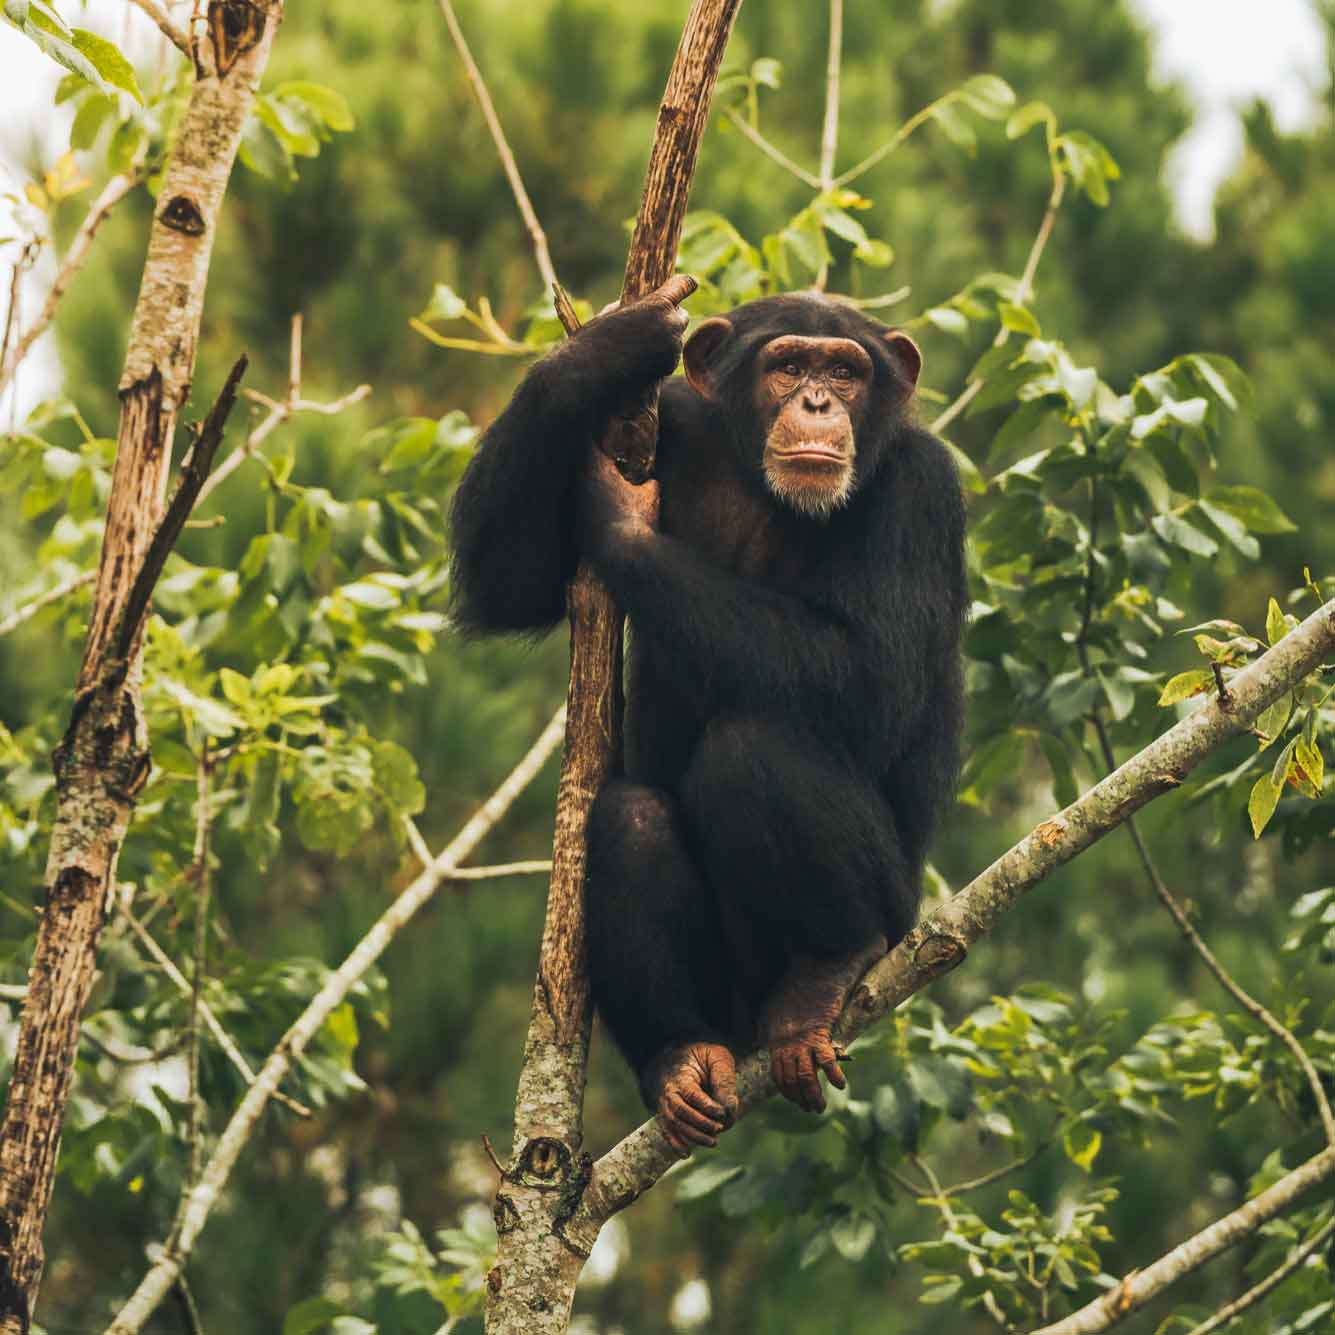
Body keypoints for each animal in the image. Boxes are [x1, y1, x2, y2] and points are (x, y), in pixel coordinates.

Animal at [453, 281, 966, 1158]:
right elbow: (509, 583)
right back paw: (680, 1055)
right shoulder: (669, 424)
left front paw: (618, 520)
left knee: (750, 748)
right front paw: (603, 348)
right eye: (787, 364)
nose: (817, 401)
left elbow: (872, 675)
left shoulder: (923, 493)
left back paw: (827, 971)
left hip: (899, 912)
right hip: (727, 1005)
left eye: (846, 371)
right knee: (630, 817)